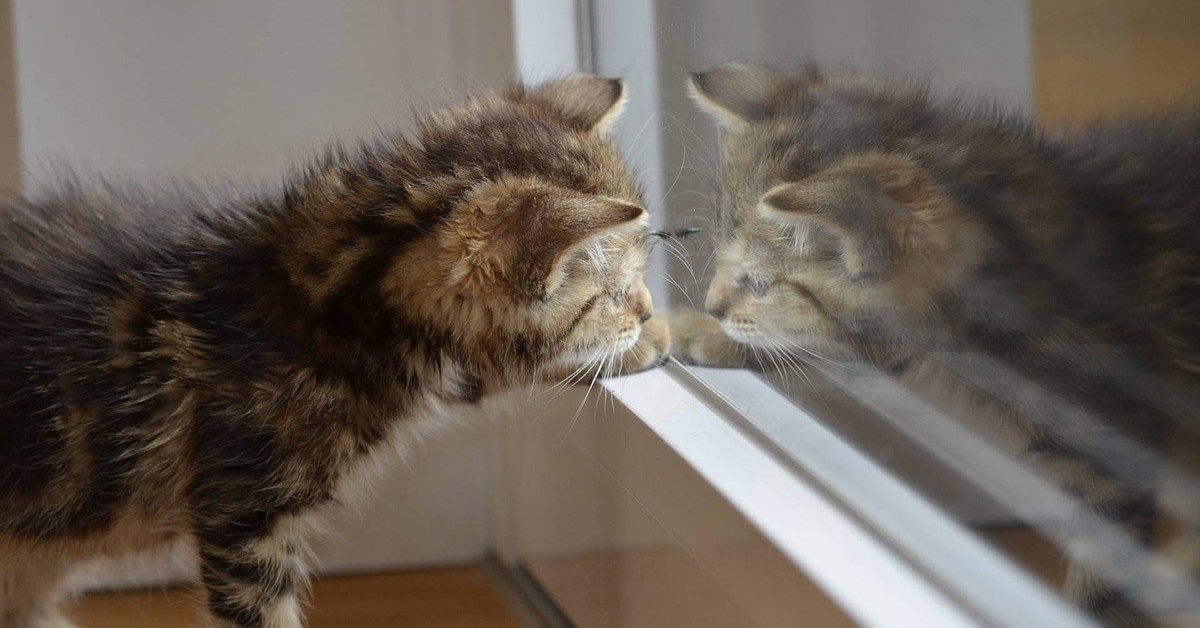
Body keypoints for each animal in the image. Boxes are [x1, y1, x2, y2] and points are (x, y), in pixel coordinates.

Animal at [0, 75, 667, 628]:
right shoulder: (242, 517)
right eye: (612, 291)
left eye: (635, 282)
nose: (644, 310)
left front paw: (658, 339)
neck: (327, 295)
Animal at [676, 62, 1200, 624]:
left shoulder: (1114, 442)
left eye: (758, 283)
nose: (711, 304)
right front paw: (701, 331)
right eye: (718, 245)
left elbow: (1107, 570)